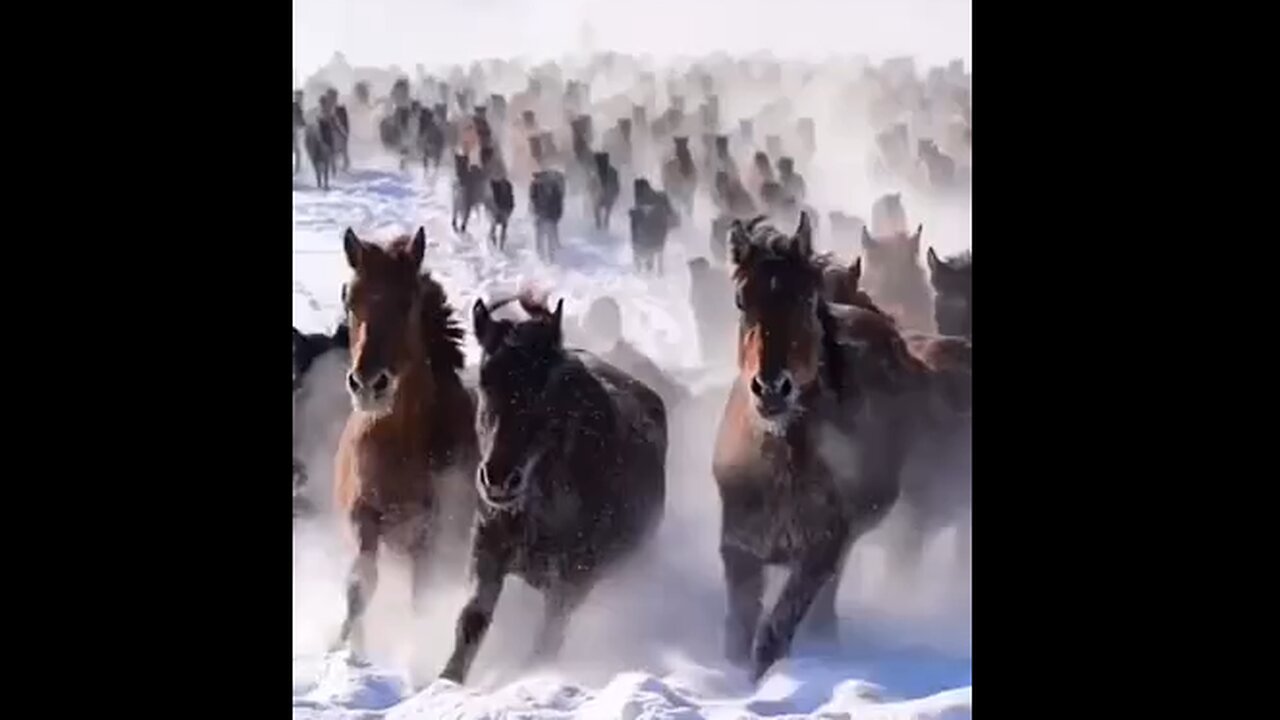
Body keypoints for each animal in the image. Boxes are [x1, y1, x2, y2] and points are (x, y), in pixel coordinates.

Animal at [330, 226, 481, 661]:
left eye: (407, 302)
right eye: (349, 298)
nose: (368, 384)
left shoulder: (428, 535)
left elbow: (422, 600)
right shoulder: (363, 515)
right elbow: (360, 584)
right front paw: (345, 651)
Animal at [442, 294, 670, 681]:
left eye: (544, 387)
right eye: (485, 381)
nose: (499, 479)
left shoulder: (572, 581)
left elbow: (547, 641)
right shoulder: (486, 550)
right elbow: (471, 622)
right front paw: (445, 682)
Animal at [711, 211, 921, 676]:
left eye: (807, 299)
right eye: (740, 300)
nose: (772, 389)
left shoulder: (820, 549)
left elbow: (773, 632)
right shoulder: (739, 547)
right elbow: (739, 628)